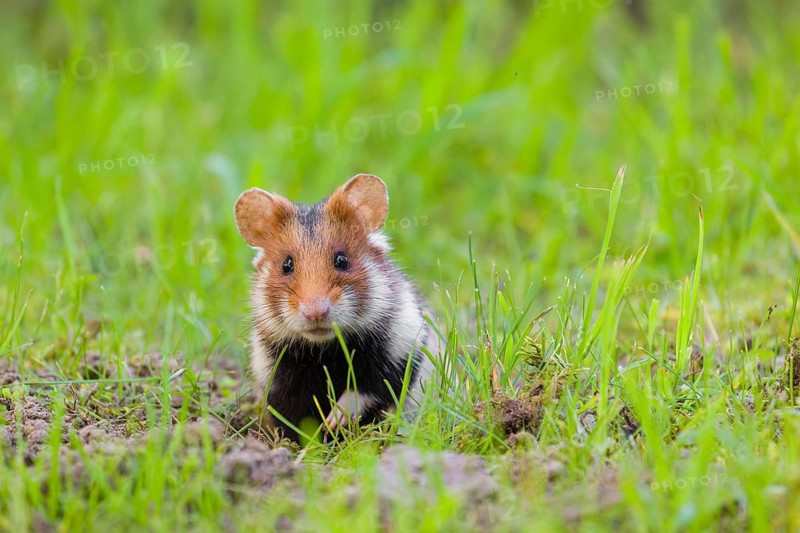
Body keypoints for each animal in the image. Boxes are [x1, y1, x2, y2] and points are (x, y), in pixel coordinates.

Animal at [234, 173, 436, 442]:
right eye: (286, 265)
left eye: (342, 260)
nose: (315, 313)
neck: (325, 351)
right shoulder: (278, 378)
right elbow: (293, 420)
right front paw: (305, 444)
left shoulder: (399, 353)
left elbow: (367, 390)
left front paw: (334, 420)